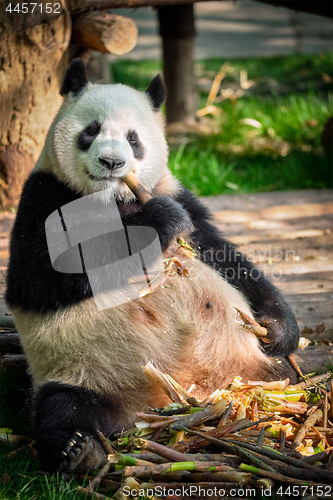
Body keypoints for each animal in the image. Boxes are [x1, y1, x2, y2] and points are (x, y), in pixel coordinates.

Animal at [5, 58, 298, 472]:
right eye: (91, 131)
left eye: (133, 139)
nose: (112, 162)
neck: (113, 198)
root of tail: (174, 402)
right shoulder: (43, 196)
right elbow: (42, 276)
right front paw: (159, 220)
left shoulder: (177, 194)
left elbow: (226, 257)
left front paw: (277, 328)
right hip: (81, 371)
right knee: (61, 407)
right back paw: (78, 449)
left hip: (256, 372)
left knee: (285, 376)